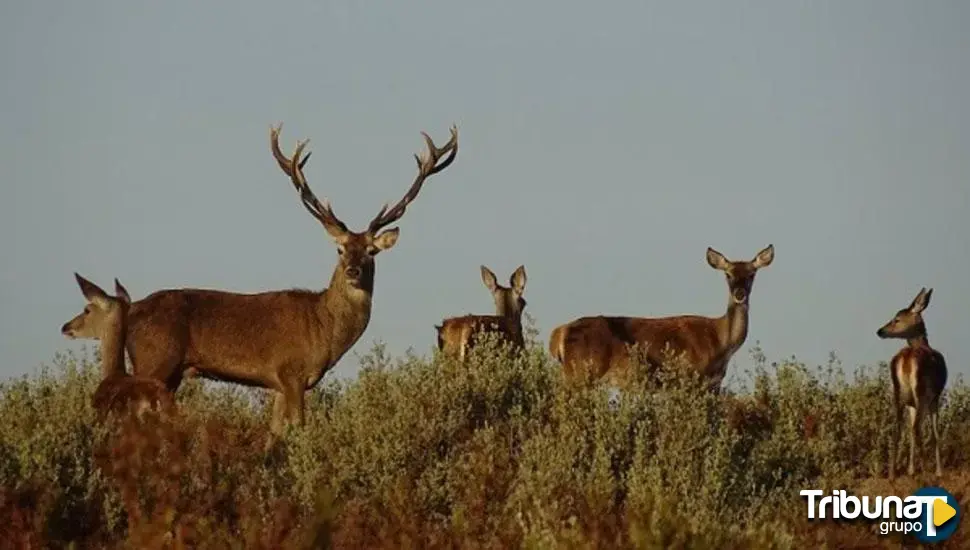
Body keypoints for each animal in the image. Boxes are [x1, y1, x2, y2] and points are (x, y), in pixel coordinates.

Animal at [90, 124, 454, 436]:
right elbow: (298, 429)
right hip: (154, 361)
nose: (353, 271)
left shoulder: (278, 383)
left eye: (371, 252)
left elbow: (274, 436)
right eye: (339, 249)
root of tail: (132, 310)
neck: (324, 330)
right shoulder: (292, 372)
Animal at [552, 246, 772, 392]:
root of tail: (559, 333)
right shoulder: (692, 375)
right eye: (728, 274)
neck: (721, 342)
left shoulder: (714, 382)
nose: (739, 294)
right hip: (581, 373)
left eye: (752, 274)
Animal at [876, 286, 944, 480]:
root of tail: (905, 359)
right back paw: (927, 472)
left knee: (898, 427)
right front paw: (938, 472)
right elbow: (935, 433)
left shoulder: (911, 404)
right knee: (917, 429)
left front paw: (910, 470)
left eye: (897, 318)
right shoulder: (935, 397)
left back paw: (892, 475)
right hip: (921, 393)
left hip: (898, 393)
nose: (880, 331)